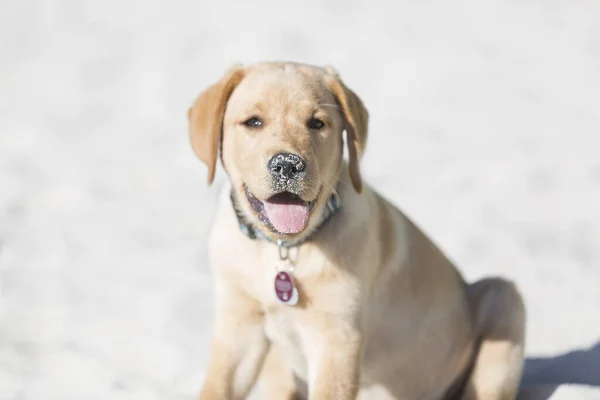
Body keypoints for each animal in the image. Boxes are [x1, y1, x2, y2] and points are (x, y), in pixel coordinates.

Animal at [188, 61, 524, 398]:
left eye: (317, 123)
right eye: (253, 122)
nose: (288, 165)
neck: (284, 250)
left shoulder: (338, 338)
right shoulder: (238, 326)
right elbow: (216, 387)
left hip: (504, 298)